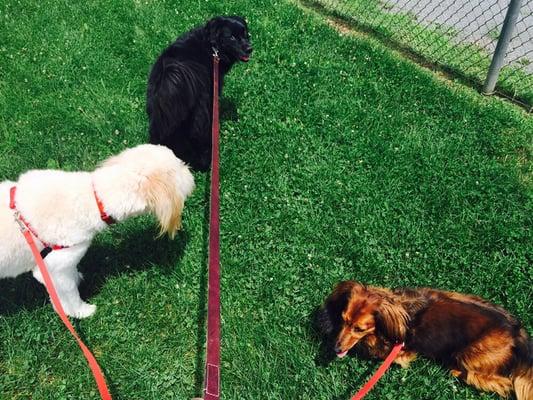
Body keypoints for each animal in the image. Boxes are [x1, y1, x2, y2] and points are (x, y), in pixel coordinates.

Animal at [0, 144, 195, 318]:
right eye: (180, 165)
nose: (190, 168)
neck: (93, 198)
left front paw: (78, 278)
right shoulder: (56, 266)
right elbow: (69, 295)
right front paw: (82, 312)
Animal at [318, 282, 528, 400]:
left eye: (359, 329)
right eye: (343, 320)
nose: (336, 348)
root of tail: (517, 332)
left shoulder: (400, 352)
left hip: (467, 355)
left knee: (503, 383)